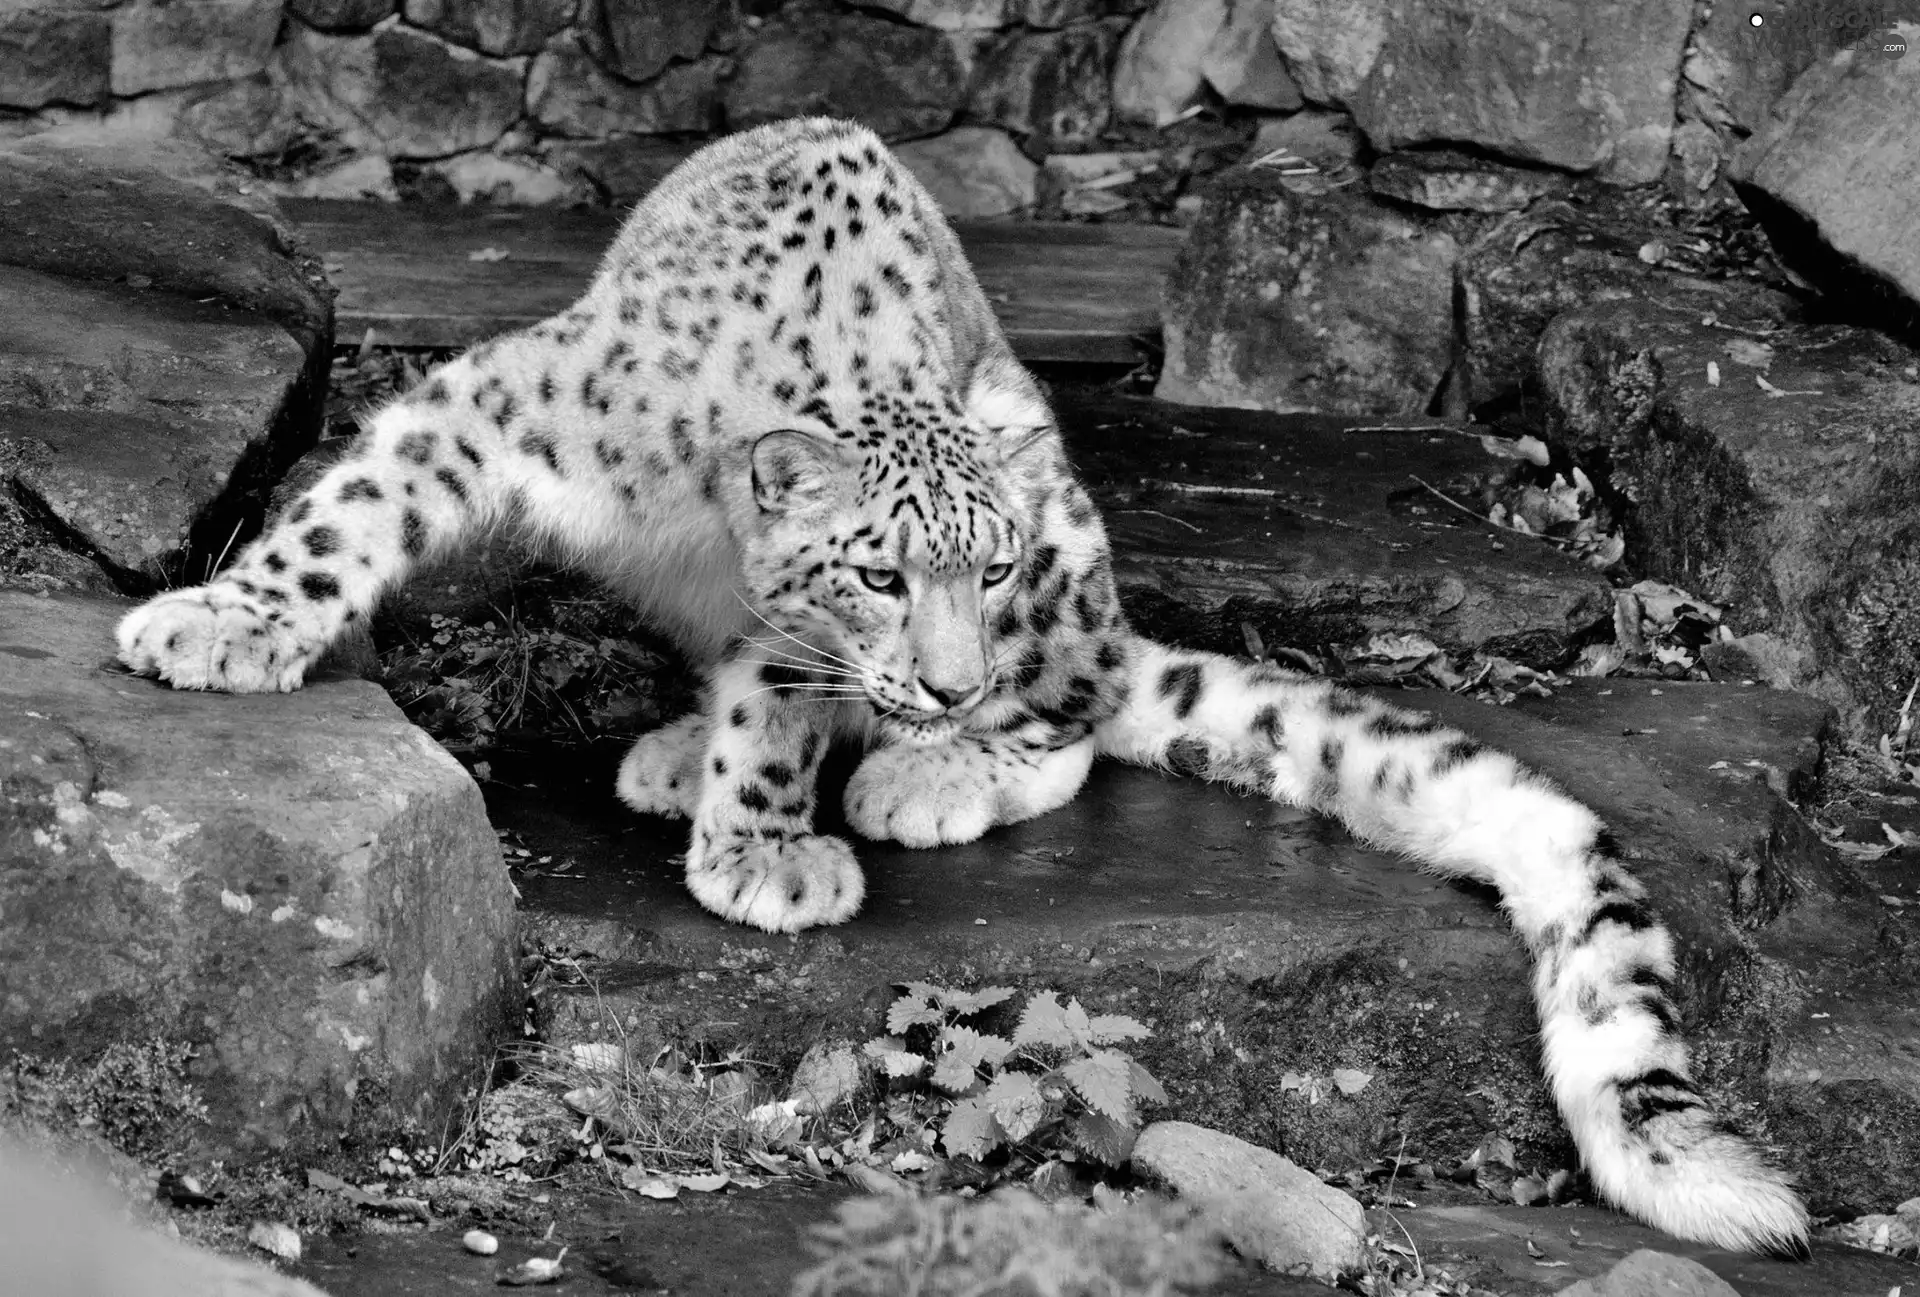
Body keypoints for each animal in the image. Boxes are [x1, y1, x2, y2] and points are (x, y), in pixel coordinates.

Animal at [116, 116, 1797, 1250]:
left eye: (981, 573)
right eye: (882, 574)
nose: (941, 677)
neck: (707, 525)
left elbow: (787, 710)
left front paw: (767, 845)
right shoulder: (482, 409)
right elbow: (347, 512)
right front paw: (224, 622)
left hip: (1067, 540)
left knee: (1082, 706)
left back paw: (921, 772)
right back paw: (691, 744)